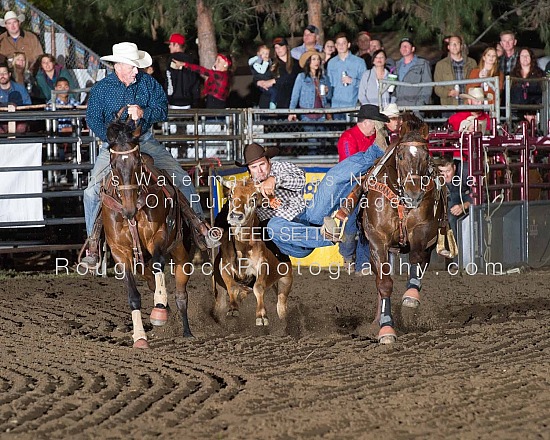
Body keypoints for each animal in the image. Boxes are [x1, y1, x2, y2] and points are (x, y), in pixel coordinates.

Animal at [102, 116, 195, 348]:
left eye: (137, 163)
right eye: (114, 165)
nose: (128, 210)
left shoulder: (158, 237)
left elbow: (159, 264)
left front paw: (160, 309)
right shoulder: (120, 252)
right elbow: (133, 296)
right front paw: (140, 337)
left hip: (180, 251)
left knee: (181, 293)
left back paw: (185, 330)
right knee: (151, 279)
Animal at [360, 113, 446, 344]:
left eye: (426, 156)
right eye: (399, 156)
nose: (414, 194)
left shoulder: (422, 230)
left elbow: (415, 258)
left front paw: (411, 297)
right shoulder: (377, 239)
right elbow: (384, 284)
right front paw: (386, 329)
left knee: (421, 262)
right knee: (379, 280)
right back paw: (376, 321)